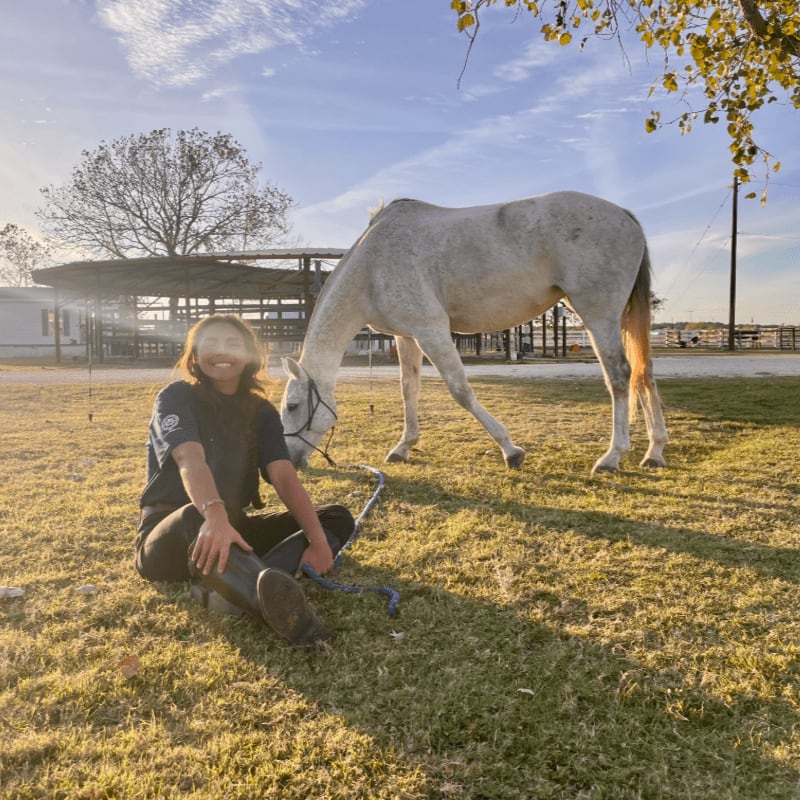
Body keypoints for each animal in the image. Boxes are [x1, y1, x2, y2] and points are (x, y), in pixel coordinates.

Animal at [280, 191, 668, 473]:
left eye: (292, 405)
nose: (293, 463)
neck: (372, 264)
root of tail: (624, 215)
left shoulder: (431, 330)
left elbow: (460, 391)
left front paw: (511, 450)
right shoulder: (407, 336)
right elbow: (408, 390)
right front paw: (403, 447)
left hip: (597, 314)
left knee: (620, 375)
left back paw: (612, 457)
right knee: (644, 372)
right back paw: (654, 451)